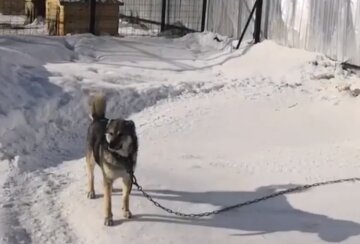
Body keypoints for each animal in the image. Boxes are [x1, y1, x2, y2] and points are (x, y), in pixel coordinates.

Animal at [85, 92, 139, 226]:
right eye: (110, 133)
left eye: (121, 134)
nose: (110, 146)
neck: (121, 157)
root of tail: (98, 119)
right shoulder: (109, 178)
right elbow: (108, 202)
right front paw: (108, 218)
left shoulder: (127, 177)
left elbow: (125, 197)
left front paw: (126, 211)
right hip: (91, 161)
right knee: (91, 177)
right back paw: (91, 192)